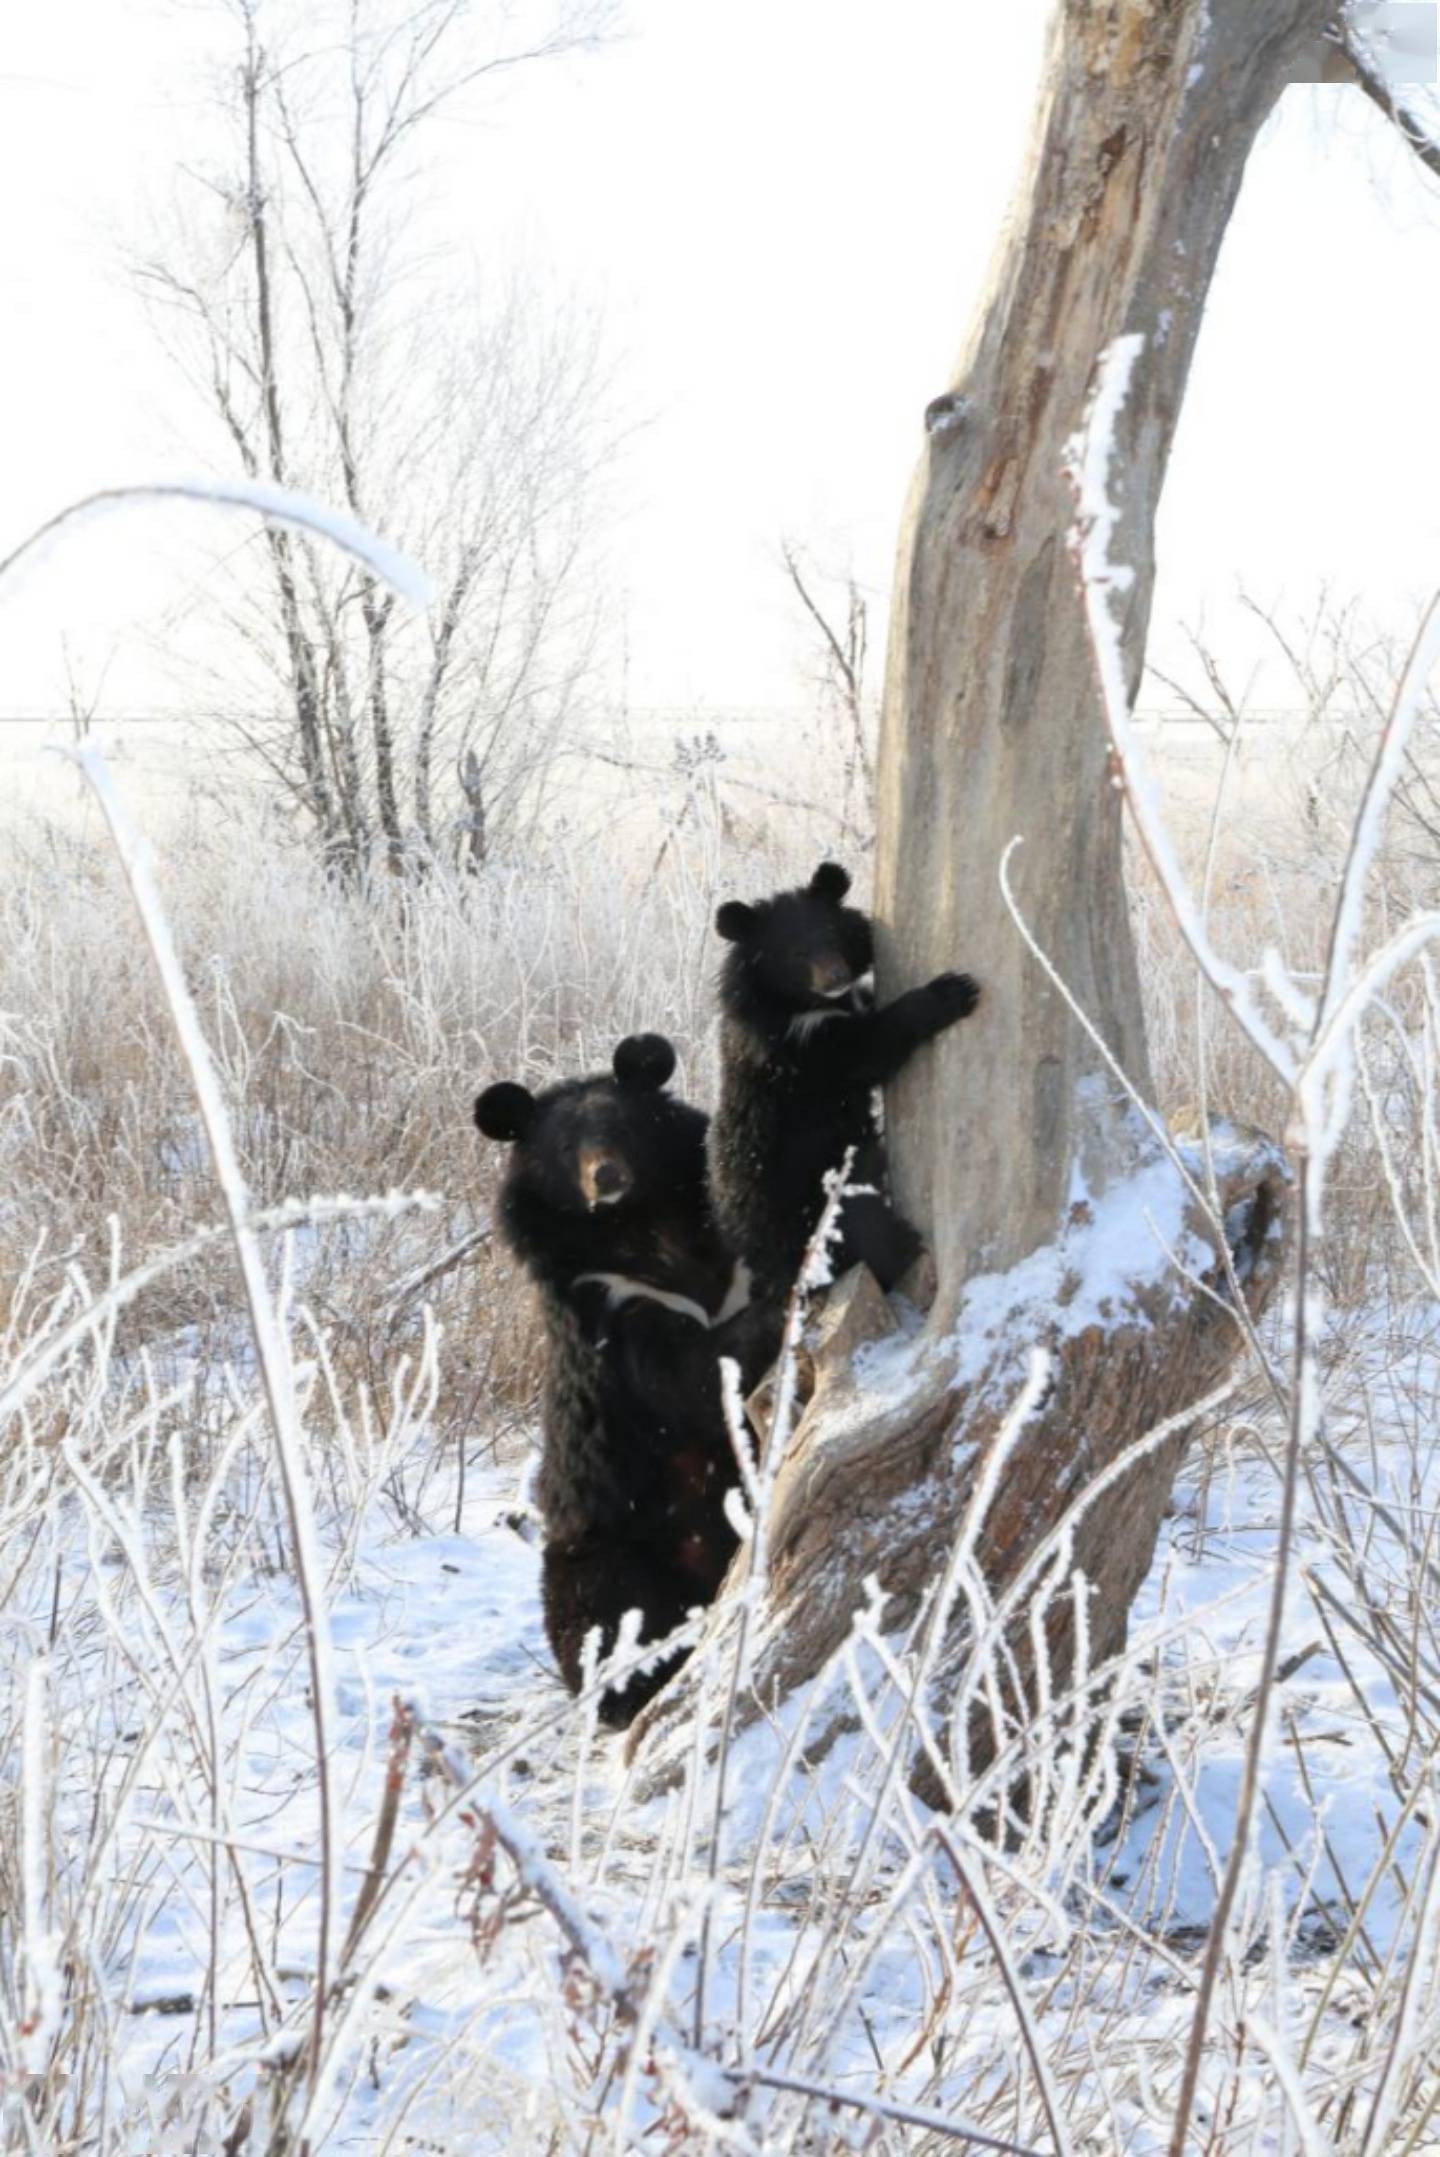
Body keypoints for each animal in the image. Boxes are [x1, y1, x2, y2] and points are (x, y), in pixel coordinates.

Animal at [474, 1035, 763, 1725]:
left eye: (623, 1128)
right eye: (563, 1149)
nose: (606, 1178)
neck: (639, 1228)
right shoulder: (608, 1308)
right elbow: (690, 1381)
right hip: (607, 1549)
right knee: (606, 1625)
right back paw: (627, 1692)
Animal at [707, 858, 978, 1294]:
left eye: (832, 935)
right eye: (796, 952)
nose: (836, 976)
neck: (802, 1005)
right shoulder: (804, 1052)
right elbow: (871, 1046)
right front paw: (952, 991)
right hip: (815, 1198)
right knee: (864, 1234)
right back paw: (905, 1246)